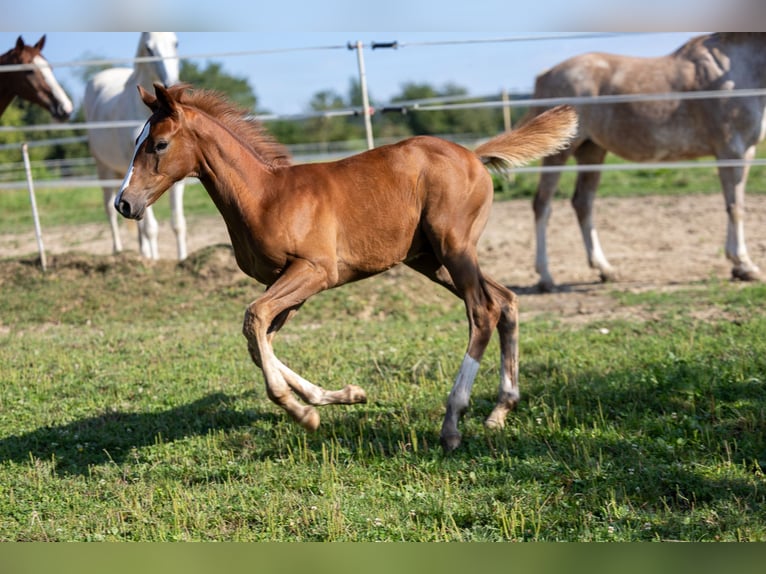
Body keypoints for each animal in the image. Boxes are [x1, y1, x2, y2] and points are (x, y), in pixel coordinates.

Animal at [83, 31, 188, 260]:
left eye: (176, 43)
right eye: (149, 48)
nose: (170, 84)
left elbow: (178, 224)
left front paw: (183, 259)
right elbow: (150, 228)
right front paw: (155, 260)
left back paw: (143, 252)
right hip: (104, 169)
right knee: (110, 211)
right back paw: (119, 251)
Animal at [532, 31, 764, 290]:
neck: (737, 66)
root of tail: (547, 73)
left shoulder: (744, 152)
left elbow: (734, 205)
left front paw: (739, 267)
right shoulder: (733, 151)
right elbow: (736, 207)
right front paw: (745, 265)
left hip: (592, 151)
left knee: (583, 203)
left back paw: (606, 270)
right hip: (558, 153)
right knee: (542, 205)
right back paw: (546, 277)